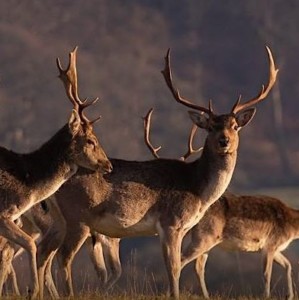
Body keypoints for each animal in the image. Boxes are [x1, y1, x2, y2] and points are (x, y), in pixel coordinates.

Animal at [0, 47, 112, 298]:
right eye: (91, 140)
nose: (108, 164)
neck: (27, 181)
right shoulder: (2, 212)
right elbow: (30, 245)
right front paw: (33, 290)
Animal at [32, 45, 276, 298]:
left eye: (235, 126)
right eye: (210, 127)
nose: (224, 141)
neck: (197, 189)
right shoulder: (171, 222)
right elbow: (174, 268)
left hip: (59, 220)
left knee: (43, 251)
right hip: (78, 216)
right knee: (63, 257)